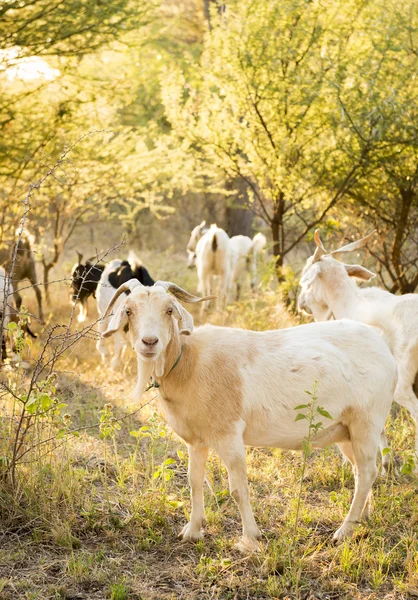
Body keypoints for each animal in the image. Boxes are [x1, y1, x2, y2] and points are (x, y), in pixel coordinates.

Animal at [103, 278, 396, 548]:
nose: (149, 342)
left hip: (366, 422)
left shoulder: (229, 434)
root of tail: (383, 345)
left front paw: (251, 538)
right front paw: (193, 531)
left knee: (368, 472)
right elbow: (195, 481)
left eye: (168, 310)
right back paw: (363, 518)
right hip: (346, 431)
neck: (189, 362)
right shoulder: (196, 440)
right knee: (360, 472)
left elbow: (238, 489)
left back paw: (343, 531)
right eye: (129, 310)